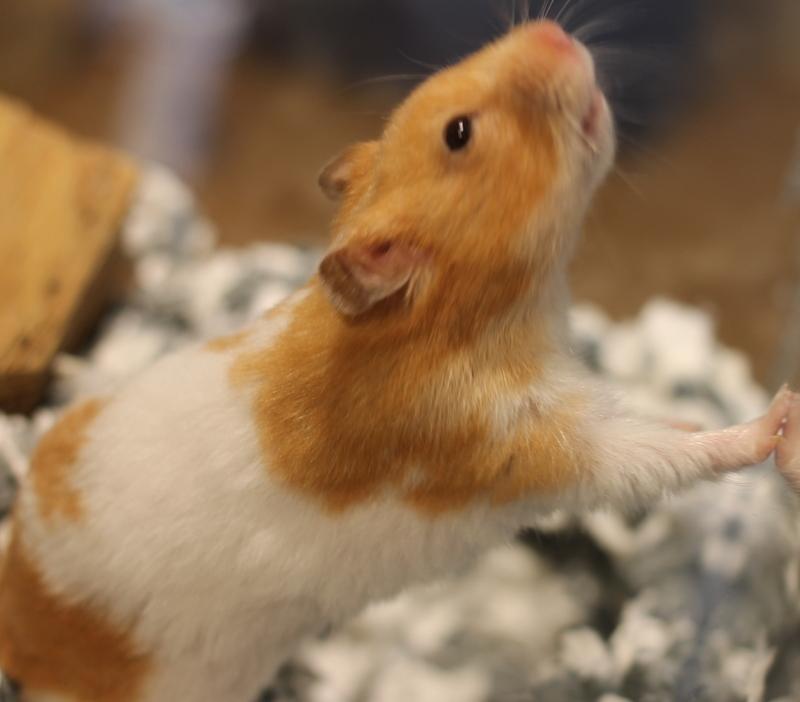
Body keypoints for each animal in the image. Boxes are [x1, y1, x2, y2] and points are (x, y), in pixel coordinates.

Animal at [0, 20, 795, 702]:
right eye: (459, 134)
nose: (553, 32)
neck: (459, 315)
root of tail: (20, 614)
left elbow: (668, 428)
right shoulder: (533, 441)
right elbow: (665, 455)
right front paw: (777, 419)